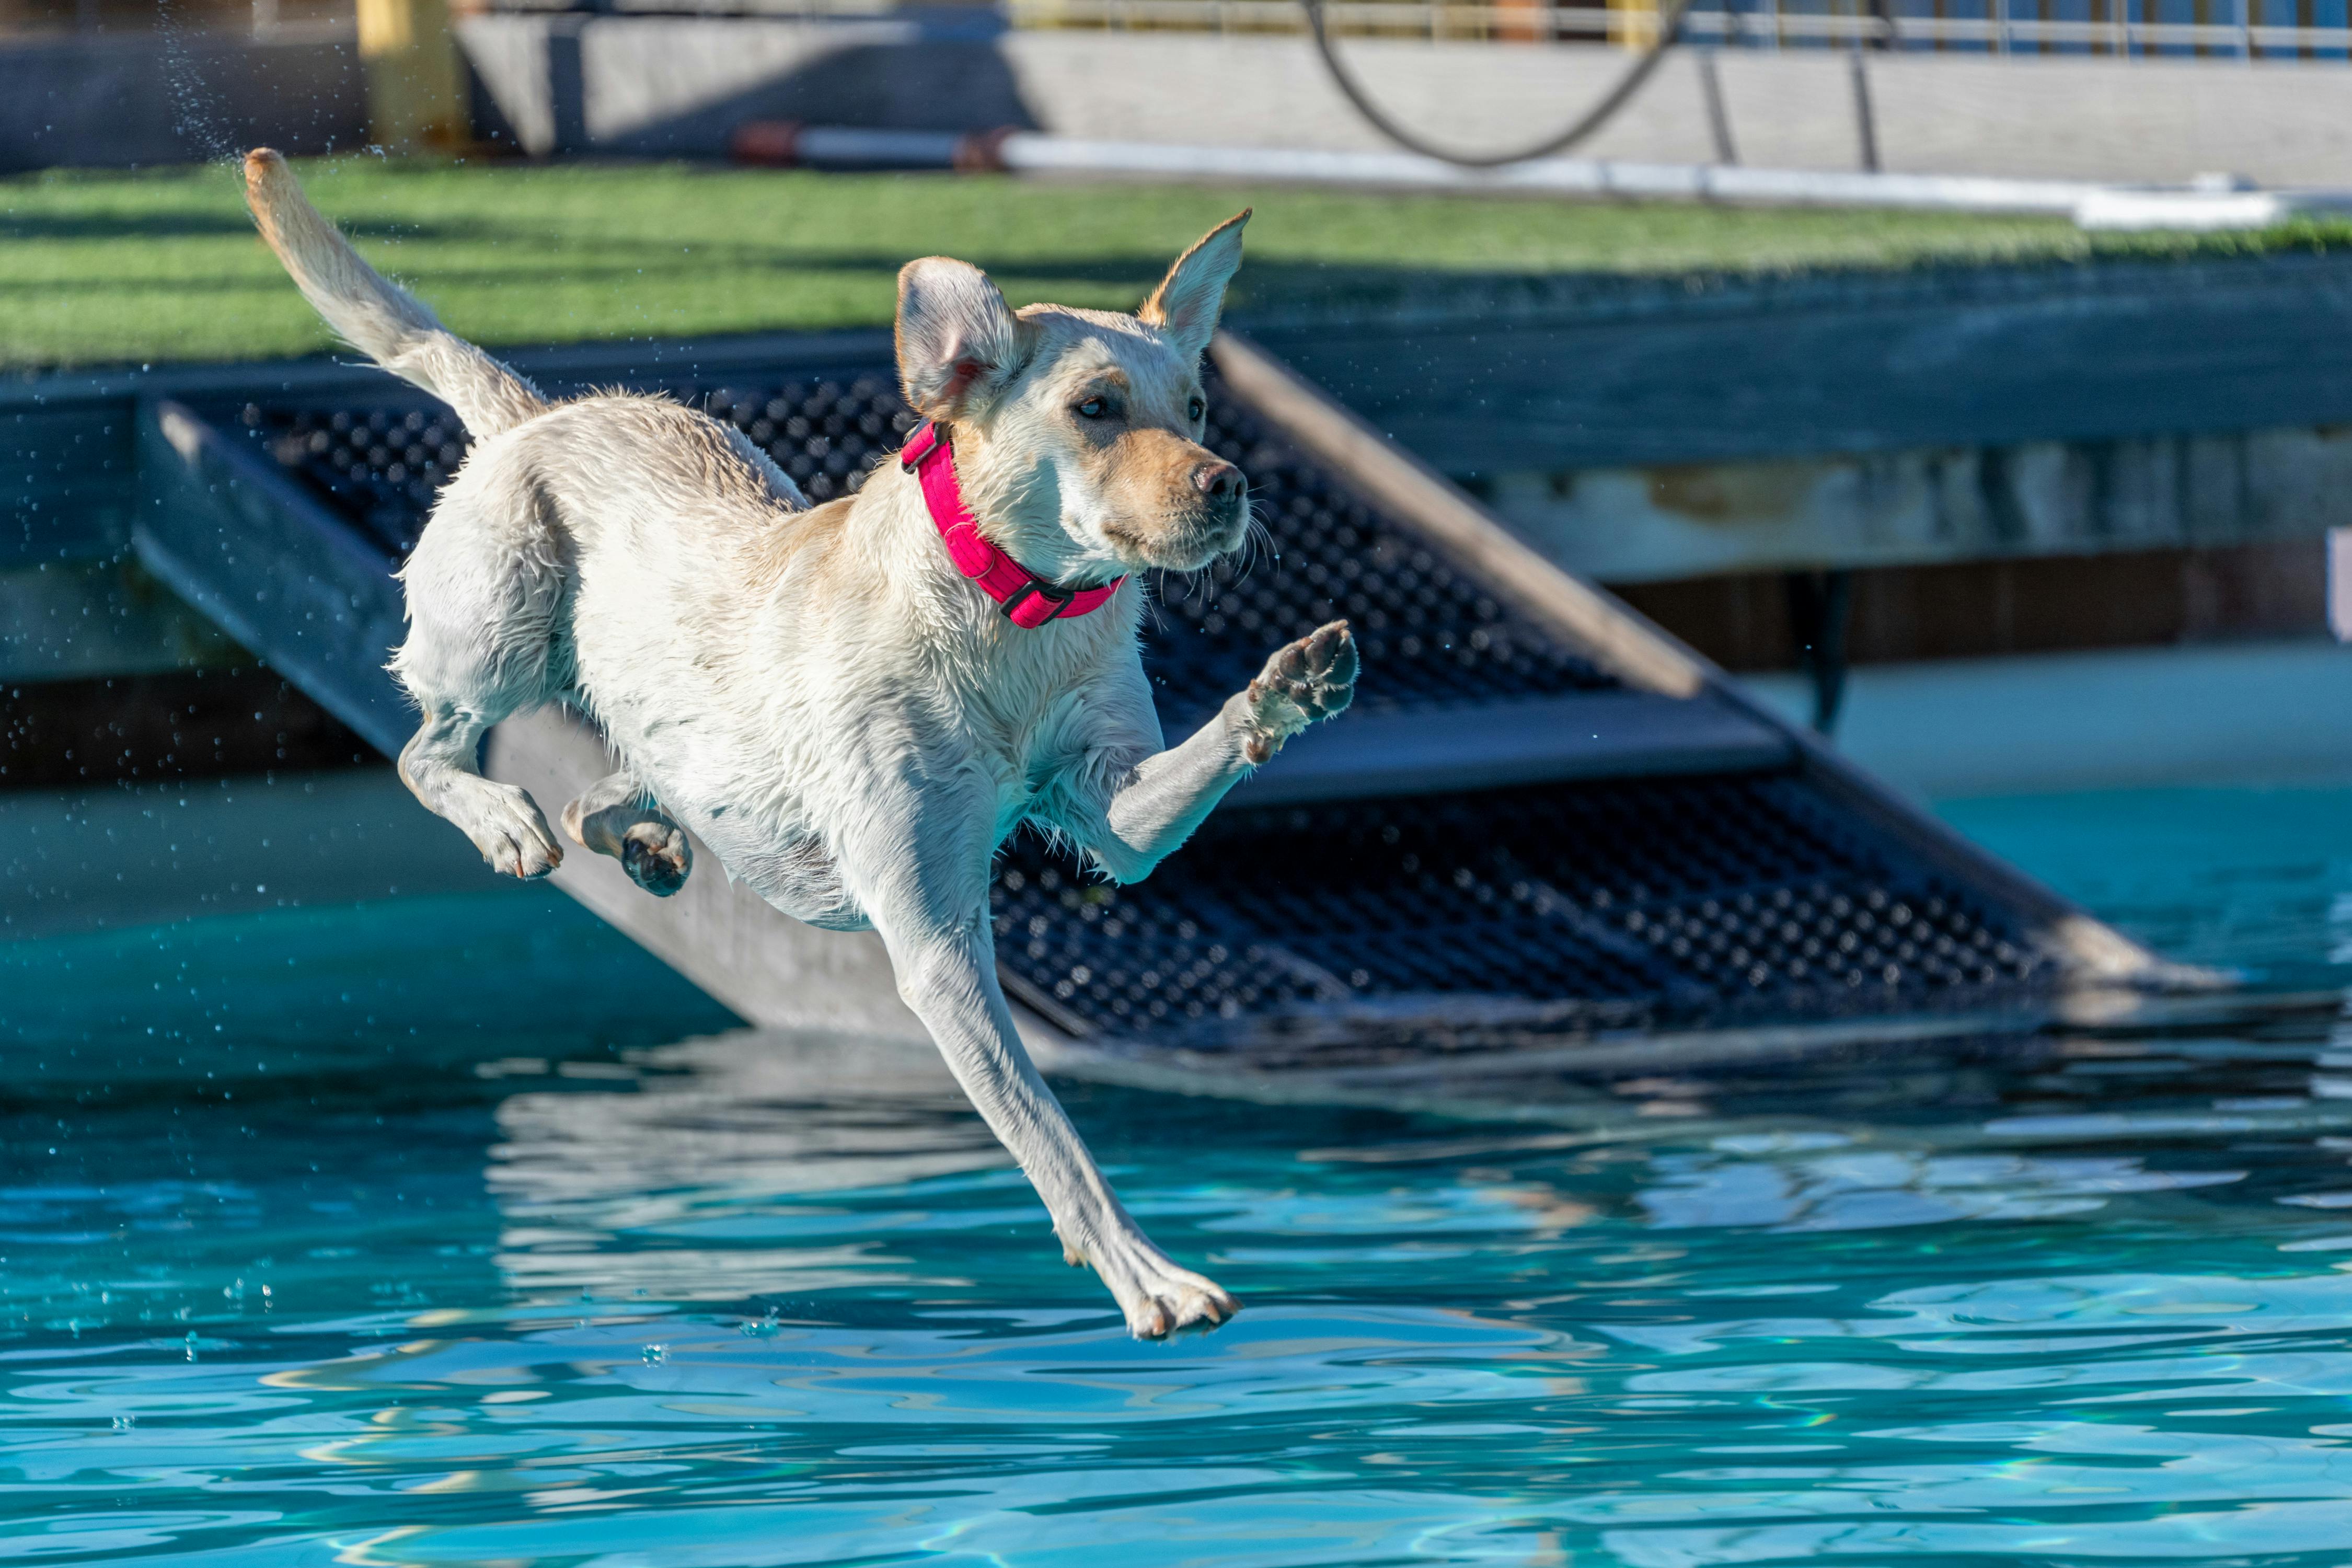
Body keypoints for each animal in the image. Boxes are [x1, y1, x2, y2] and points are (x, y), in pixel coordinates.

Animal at [243, 150, 1364, 1335]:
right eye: (1096, 408)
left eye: (1194, 407)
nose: (1227, 481)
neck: (1005, 614)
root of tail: (534, 417)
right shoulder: (935, 946)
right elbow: (1048, 1132)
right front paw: (1145, 1274)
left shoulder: (1112, 810)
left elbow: (1164, 802)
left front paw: (1287, 688)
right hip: (500, 630)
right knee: (430, 752)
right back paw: (506, 819)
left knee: (611, 788)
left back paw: (644, 836)